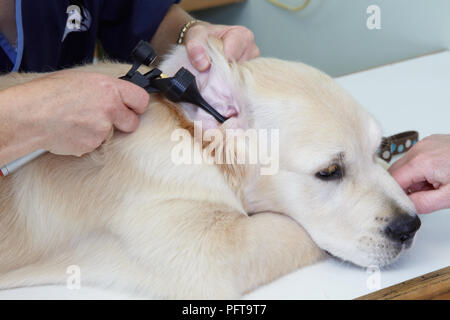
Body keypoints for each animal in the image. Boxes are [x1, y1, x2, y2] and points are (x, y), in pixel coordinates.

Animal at [0, 40, 420, 300]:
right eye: (329, 171)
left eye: (376, 149)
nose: (410, 227)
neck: (186, 132)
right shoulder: (203, 250)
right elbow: (295, 230)